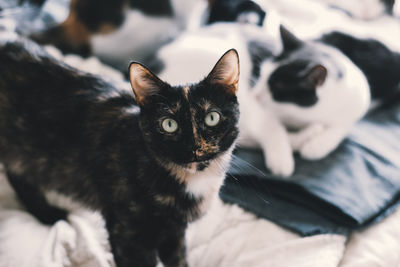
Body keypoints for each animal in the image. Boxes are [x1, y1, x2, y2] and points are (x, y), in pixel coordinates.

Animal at [0, 33, 239, 267]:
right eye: (169, 124)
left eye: (212, 118)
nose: (194, 147)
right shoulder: (127, 233)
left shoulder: (174, 232)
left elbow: (179, 260)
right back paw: (48, 214)